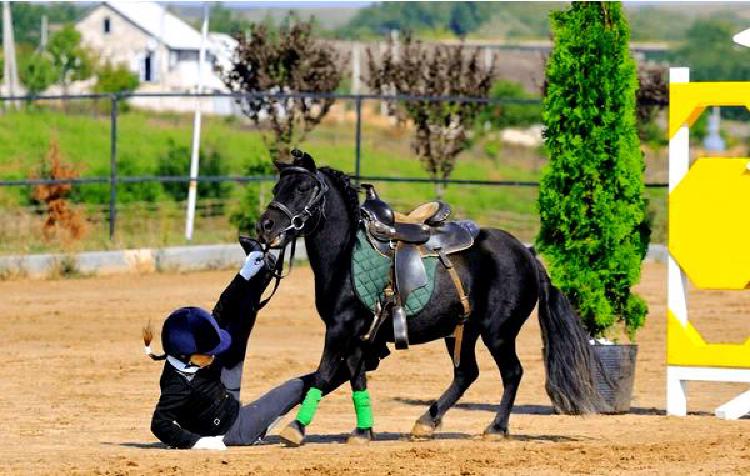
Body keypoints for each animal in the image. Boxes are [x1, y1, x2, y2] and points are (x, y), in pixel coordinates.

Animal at [258, 152, 604, 446]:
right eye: (277, 187)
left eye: (303, 187)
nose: (266, 226)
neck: (345, 256)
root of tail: (527, 253)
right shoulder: (357, 335)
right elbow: (356, 377)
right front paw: (362, 431)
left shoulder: (340, 329)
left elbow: (324, 372)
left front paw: (296, 428)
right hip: (462, 331)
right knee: (467, 373)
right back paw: (426, 422)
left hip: (499, 333)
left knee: (512, 372)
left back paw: (495, 428)